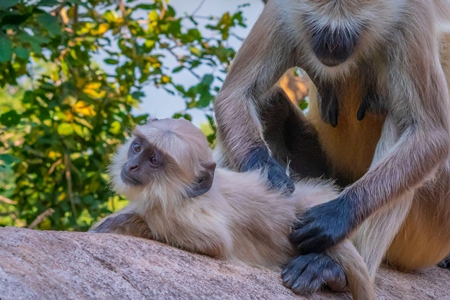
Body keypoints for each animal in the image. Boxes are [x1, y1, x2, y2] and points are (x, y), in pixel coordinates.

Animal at [89, 118, 374, 298]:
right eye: (137, 148)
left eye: (153, 160)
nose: (132, 165)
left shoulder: (179, 216)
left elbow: (215, 243)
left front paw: (122, 225)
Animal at [213, 0, 450, 288]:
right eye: (316, 27)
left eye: (349, 32)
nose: (330, 47)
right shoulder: (281, 10)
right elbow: (235, 94)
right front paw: (266, 177)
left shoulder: (414, 18)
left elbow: (431, 134)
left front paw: (336, 216)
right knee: (269, 103)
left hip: (433, 223)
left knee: (402, 121)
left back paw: (333, 266)